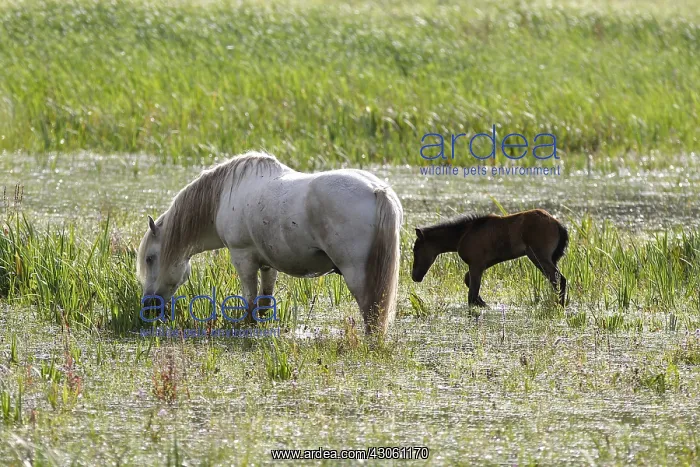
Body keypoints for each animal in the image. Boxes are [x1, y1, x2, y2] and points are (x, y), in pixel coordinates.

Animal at [136, 151, 403, 335]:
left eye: (150, 258)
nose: (149, 306)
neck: (222, 197)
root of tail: (377, 190)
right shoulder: (266, 263)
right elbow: (263, 302)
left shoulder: (242, 257)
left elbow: (249, 301)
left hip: (356, 273)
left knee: (371, 311)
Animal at [411, 209, 568, 306]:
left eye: (416, 250)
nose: (415, 276)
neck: (462, 235)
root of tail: (558, 224)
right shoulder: (484, 263)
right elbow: (468, 281)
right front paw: (484, 303)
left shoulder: (476, 264)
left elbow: (472, 294)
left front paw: (480, 303)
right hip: (549, 258)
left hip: (539, 256)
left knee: (559, 279)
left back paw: (559, 305)